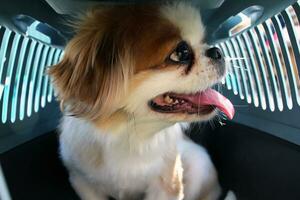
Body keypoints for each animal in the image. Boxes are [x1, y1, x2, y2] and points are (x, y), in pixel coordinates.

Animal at [49, 1, 236, 200]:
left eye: (203, 40)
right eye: (181, 53)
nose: (217, 51)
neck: (132, 136)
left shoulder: (167, 184)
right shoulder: (82, 181)